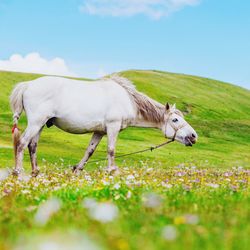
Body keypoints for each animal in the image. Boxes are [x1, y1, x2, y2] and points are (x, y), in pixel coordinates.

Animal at [9, 75, 197, 175]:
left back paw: (35, 172)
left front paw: (77, 169)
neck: (128, 100)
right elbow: (111, 150)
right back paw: (18, 172)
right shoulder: (113, 127)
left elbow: (90, 151)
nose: (194, 136)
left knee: (32, 145)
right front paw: (112, 171)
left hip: (40, 125)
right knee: (22, 143)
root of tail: (28, 85)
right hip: (36, 122)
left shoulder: (99, 132)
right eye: (175, 120)